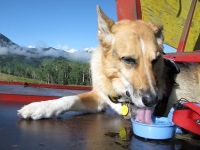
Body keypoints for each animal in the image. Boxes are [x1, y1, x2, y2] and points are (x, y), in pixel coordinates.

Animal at [17, 5, 169, 124]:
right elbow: (70, 99)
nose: (152, 101)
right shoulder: (98, 98)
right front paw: (41, 107)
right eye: (128, 60)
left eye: (155, 60)